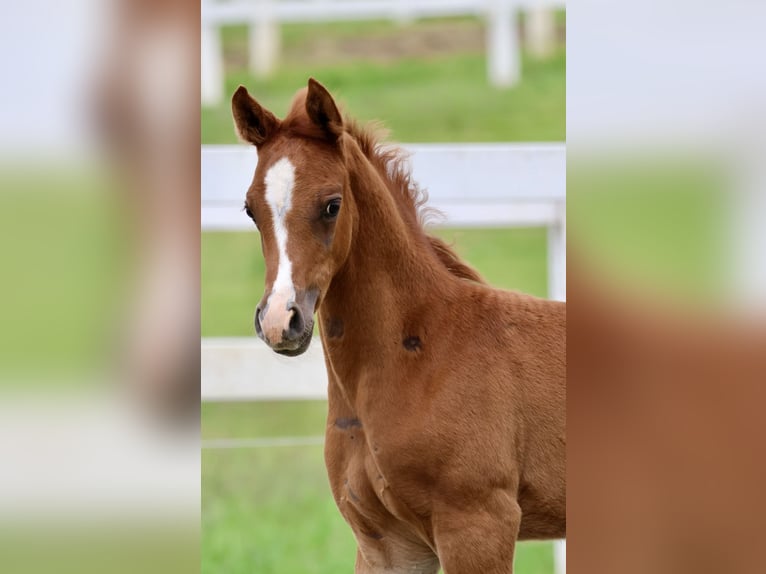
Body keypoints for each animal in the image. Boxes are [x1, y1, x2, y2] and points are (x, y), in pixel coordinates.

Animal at [231, 77, 568, 574]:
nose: (279, 320)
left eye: (331, 205)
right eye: (251, 209)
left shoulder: (479, 524)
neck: (424, 353)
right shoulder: (386, 542)